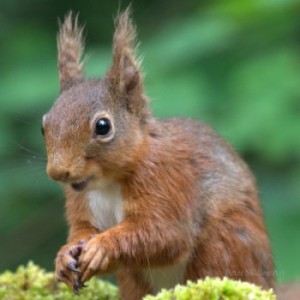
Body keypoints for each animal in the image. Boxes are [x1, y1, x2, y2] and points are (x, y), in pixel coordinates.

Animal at [41, 8, 274, 298]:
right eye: (43, 125)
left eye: (103, 127)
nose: (57, 172)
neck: (107, 183)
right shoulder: (80, 201)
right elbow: (82, 229)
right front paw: (64, 256)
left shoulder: (166, 181)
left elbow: (164, 234)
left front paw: (101, 247)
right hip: (132, 277)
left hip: (226, 243)